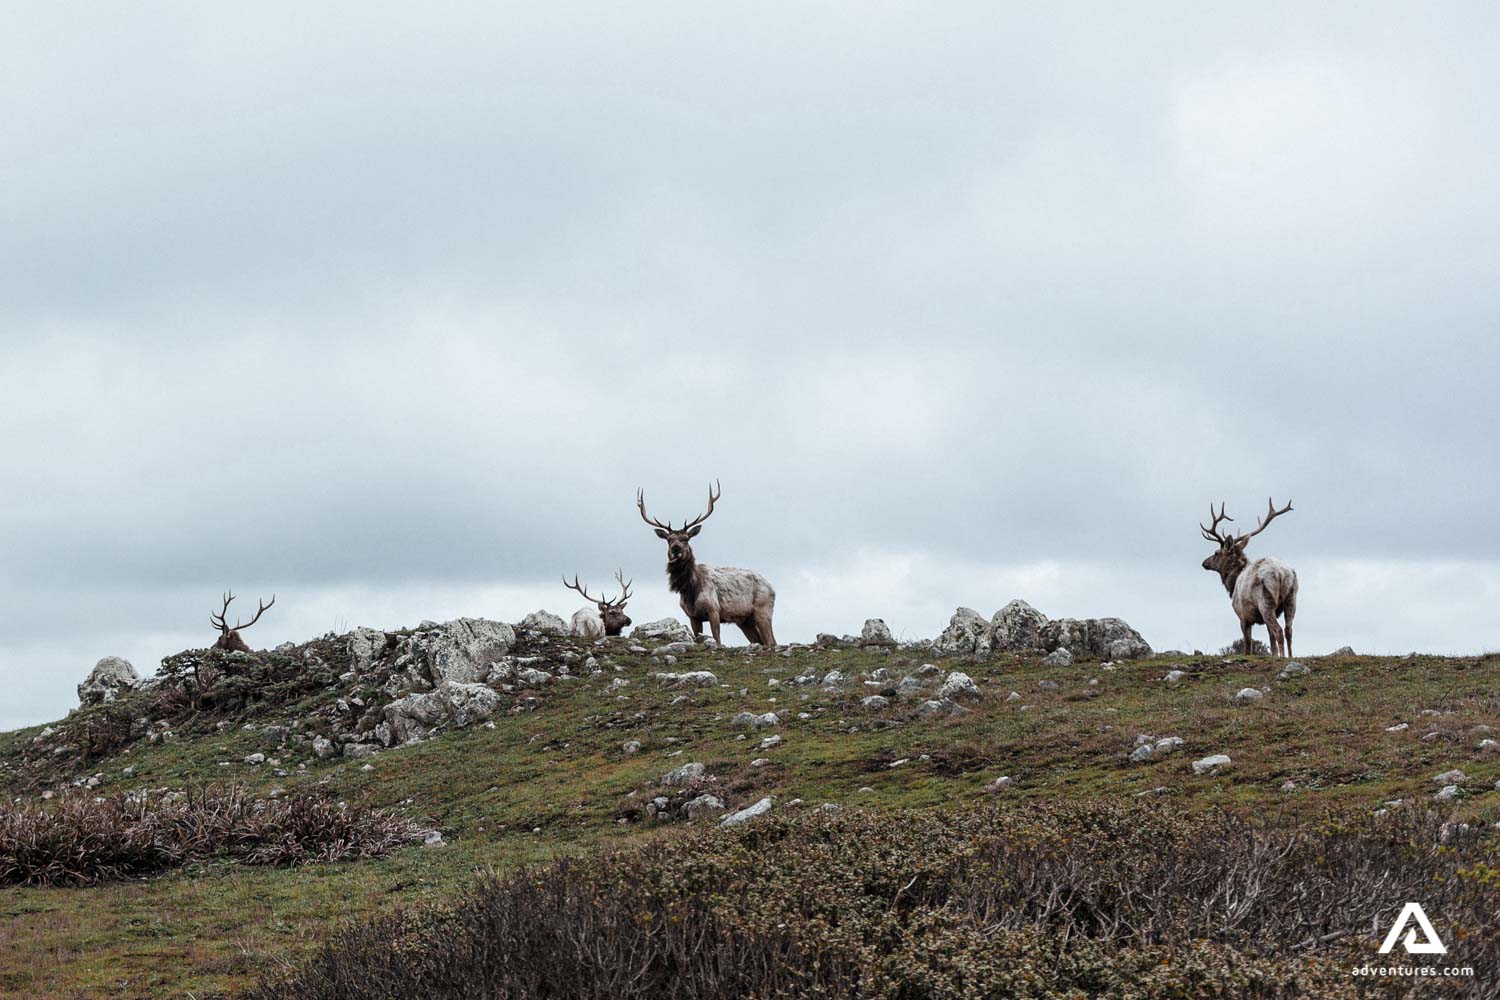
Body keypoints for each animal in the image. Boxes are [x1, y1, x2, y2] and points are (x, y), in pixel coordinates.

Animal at [637, 481, 777, 646]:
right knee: (761, 640)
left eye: (686, 538)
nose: (676, 548)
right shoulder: (693, 616)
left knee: (771, 641)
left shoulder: (714, 610)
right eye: (669, 539)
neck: (689, 589)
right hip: (744, 620)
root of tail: (771, 587)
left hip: (763, 609)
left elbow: (717, 638)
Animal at [1200, 498, 1299, 658]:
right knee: (1288, 630)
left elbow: (1247, 645)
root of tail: (1281, 574)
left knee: (1279, 631)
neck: (1232, 584)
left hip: (1265, 602)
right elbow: (1271, 643)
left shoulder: (1243, 615)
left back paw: (1283, 657)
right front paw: (1274, 656)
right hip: (1292, 599)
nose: (1204, 563)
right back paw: (1290, 657)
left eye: (1216, 553)